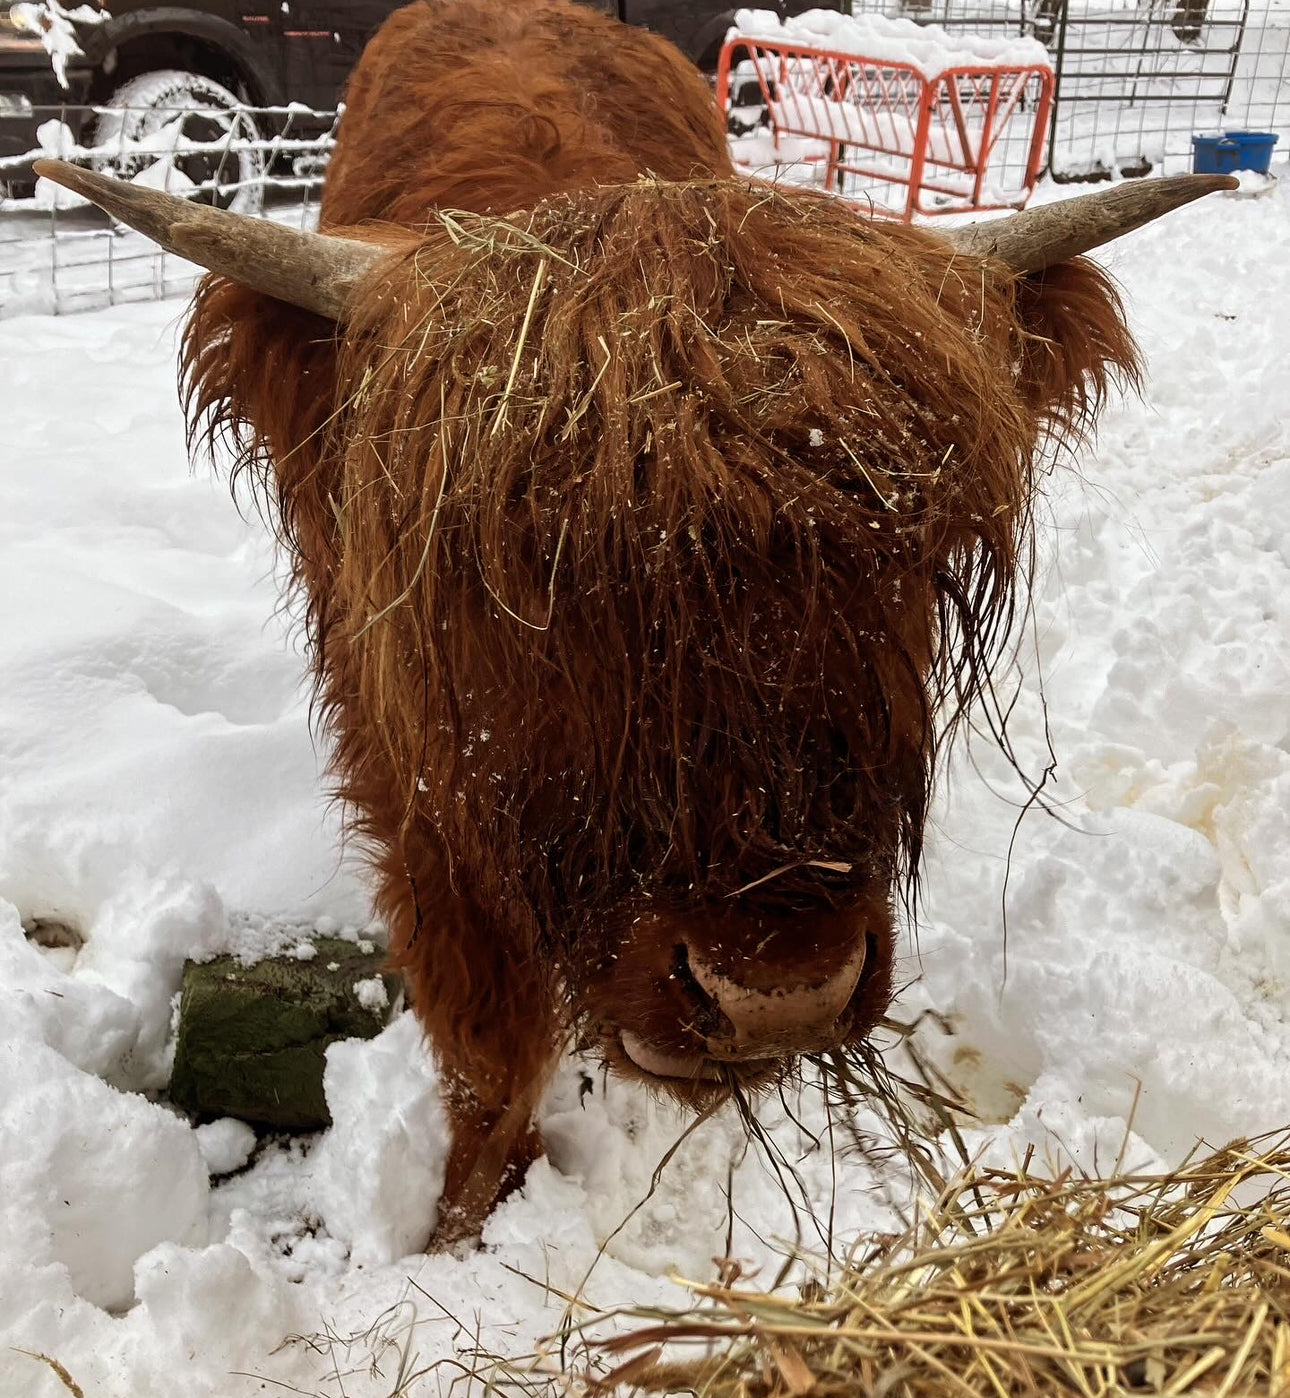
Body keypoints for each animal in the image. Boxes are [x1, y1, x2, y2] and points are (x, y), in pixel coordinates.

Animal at [35, 0, 1235, 1247]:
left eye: (908, 554)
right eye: (525, 583)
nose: (778, 995)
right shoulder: (415, 775)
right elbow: (490, 1043)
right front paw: (461, 1223)